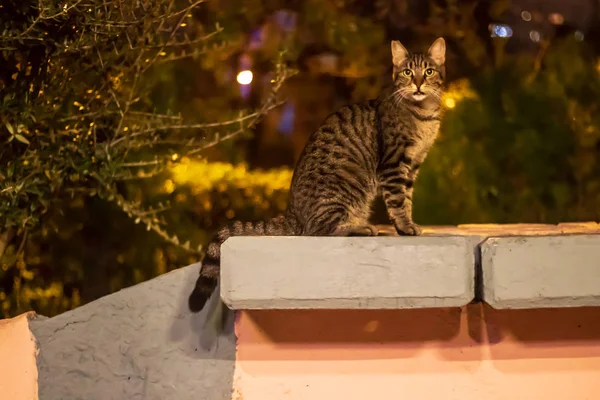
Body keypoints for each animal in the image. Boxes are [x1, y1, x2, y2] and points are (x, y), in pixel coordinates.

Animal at [188, 37, 446, 312]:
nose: (417, 83)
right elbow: (398, 201)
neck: (424, 115)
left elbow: (407, 198)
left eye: (428, 71)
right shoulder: (394, 164)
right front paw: (405, 226)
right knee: (319, 230)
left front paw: (406, 223)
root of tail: (292, 213)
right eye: (408, 72)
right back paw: (360, 228)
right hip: (341, 191)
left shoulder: (412, 165)